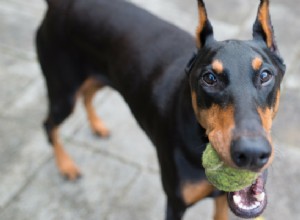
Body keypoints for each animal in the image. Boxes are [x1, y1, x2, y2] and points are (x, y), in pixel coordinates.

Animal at [36, 0, 284, 219]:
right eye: (209, 78)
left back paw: (97, 125)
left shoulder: (223, 200)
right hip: (64, 93)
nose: (251, 153)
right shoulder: (175, 203)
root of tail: (58, 5)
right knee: (48, 125)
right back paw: (66, 165)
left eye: (265, 75)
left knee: (88, 95)